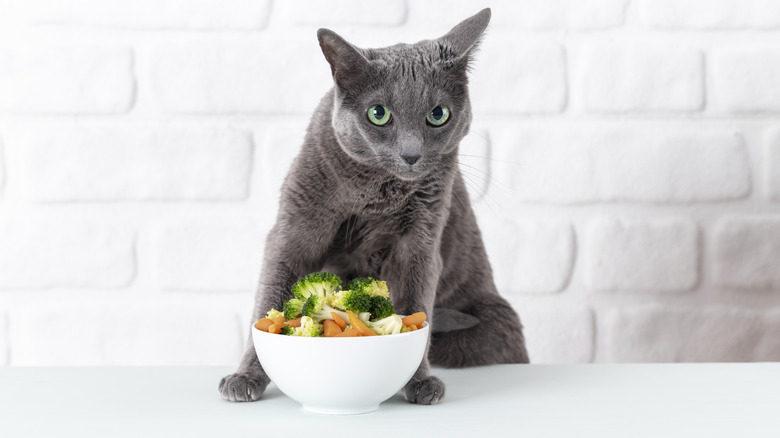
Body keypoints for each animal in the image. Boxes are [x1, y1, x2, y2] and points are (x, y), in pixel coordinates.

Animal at [218, 8, 532, 406]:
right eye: (378, 114)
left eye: (439, 114)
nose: (411, 154)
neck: (375, 194)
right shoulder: (297, 224)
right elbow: (270, 298)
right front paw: (246, 376)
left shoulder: (422, 236)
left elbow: (416, 307)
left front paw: (418, 380)